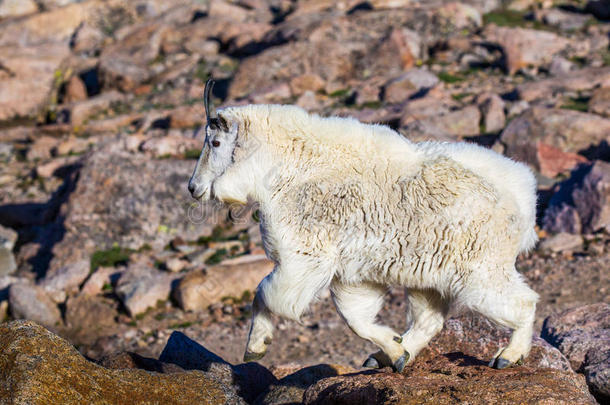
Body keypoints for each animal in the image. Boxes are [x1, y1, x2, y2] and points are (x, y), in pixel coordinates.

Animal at [189, 78, 536, 370]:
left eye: (216, 143)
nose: (194, 187)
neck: (286, 167)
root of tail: (524, 196)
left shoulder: (305, 258)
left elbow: (266, 294)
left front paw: (255, 347)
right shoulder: (352, 274)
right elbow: (356, 318)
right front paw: (395, 352)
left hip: (479, 267)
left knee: (523, 302)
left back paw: (509, 355)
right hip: (429, 274)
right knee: (429, 319)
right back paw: (387, 357)